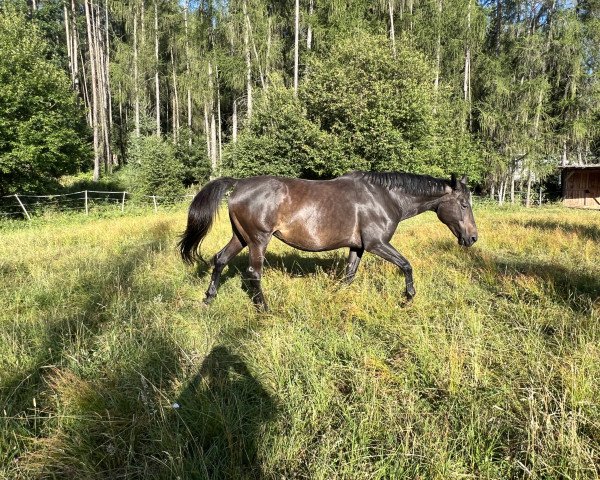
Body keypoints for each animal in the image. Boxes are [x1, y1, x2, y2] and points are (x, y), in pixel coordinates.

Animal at [178, 171, 478, 310]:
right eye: (464, 204)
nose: (473, 237)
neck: (385, 197)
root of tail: (239, 184)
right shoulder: (376, 244)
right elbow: (406, 265)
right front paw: (407, 298)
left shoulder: (358, 247)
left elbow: (348, 276)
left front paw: (334, 297)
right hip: (258, 240)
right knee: (253, 272)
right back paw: (264, 308)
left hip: (241, 237)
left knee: (220, 260)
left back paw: (208, 299)